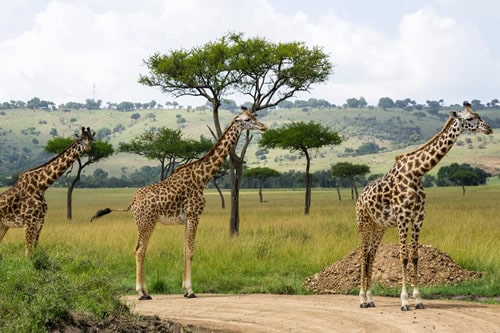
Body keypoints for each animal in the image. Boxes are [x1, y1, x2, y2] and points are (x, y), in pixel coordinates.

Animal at [0, 126, 94, 254]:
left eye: (91, 139)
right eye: (80, 139)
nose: (88, 147)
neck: (41, 185)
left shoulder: (40, 220)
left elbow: (34, 248)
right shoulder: (29, 221)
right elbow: (28, 251)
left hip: (3, 225)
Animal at [91, 108, 268, 298]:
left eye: (255, 116)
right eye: (247, 119)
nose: (264, 126)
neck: (202, 177)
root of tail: (133, 202)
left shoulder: (187, 219)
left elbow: (184, 250)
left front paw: (184, 289)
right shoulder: (194, 215)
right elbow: (190, 250)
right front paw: (190, 291)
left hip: (142, 223)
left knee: (139, 249)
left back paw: (146, 291)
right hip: (146, 222)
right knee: (140, 250)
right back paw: (141, 292)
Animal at [356, 102, 492, 310]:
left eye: (479, 115)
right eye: (469, 119)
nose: (489, 129)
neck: (417, 172)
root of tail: (359, 198)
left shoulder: (419, 218)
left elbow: (414, 256)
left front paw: (418, 300)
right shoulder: (403, 218)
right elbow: (403, 257)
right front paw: (404, 301)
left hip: (379, 226)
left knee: (371, 254)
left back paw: (371, 299)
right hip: (363, 222)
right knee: (363, 255)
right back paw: (362, 299)